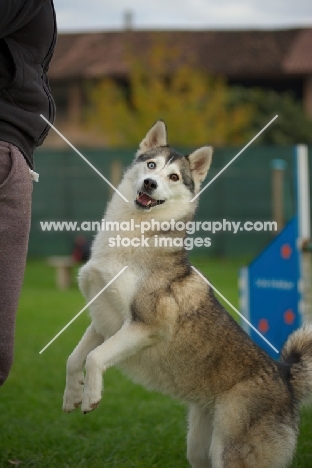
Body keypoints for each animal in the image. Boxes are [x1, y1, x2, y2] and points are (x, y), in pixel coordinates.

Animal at [62, 121, 312, 468]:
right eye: (151, 166)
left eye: (174, 177)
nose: (150, 184)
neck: (132, 238)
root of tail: (285, 377)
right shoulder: (104, 321)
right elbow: (75, 358)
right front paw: (73, 394)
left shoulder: (146, 325)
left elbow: (95, 357)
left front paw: (91, 397)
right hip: (199, 447)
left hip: (229, 449)